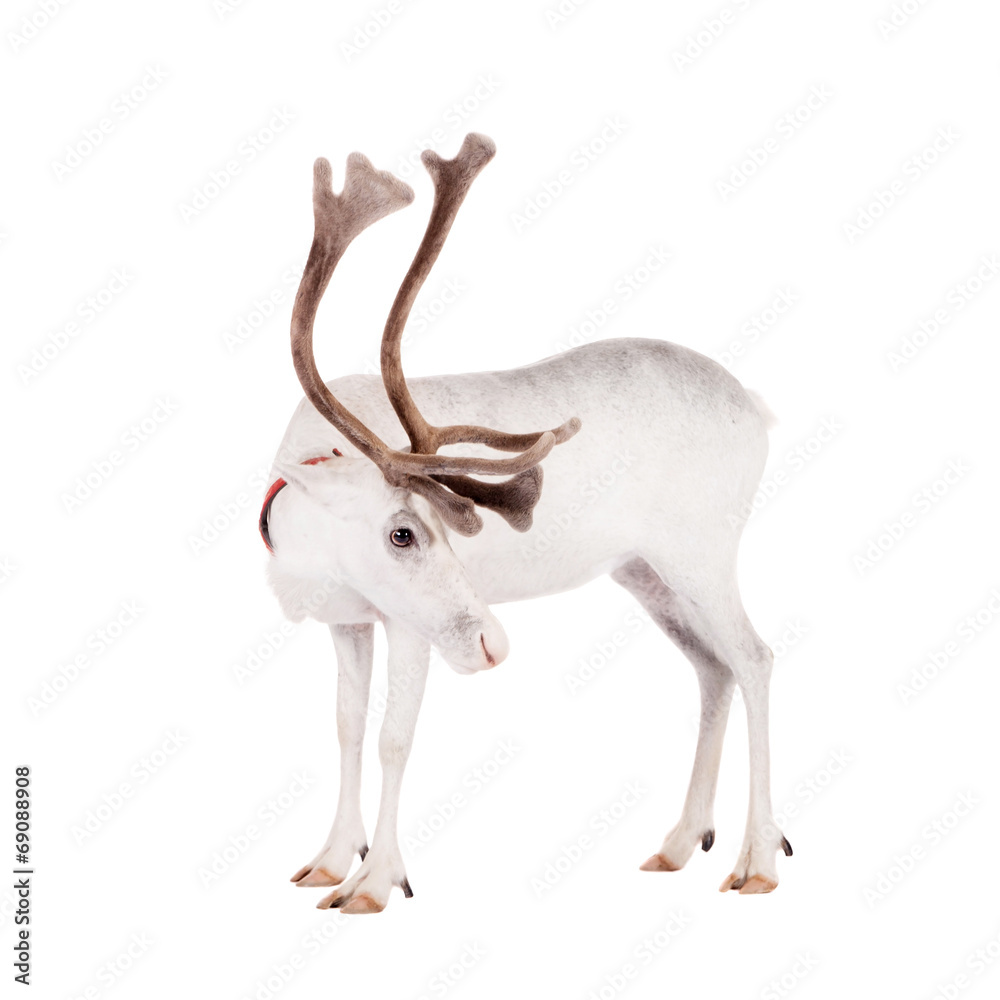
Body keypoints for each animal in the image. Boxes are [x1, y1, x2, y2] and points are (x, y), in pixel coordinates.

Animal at [261, 132, 792, 914]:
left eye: (455, 528)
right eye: (402, 531)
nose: (493, 643)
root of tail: (757, 406)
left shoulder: (407, 624)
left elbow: (394, 736)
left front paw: (377, 880)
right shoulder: (348, 619)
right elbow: (347, 726)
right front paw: (329, 860)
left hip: (704, 551)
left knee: (754, 656)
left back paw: (759, 858)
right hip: (645, 570)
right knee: (711, 666)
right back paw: (678, 841)